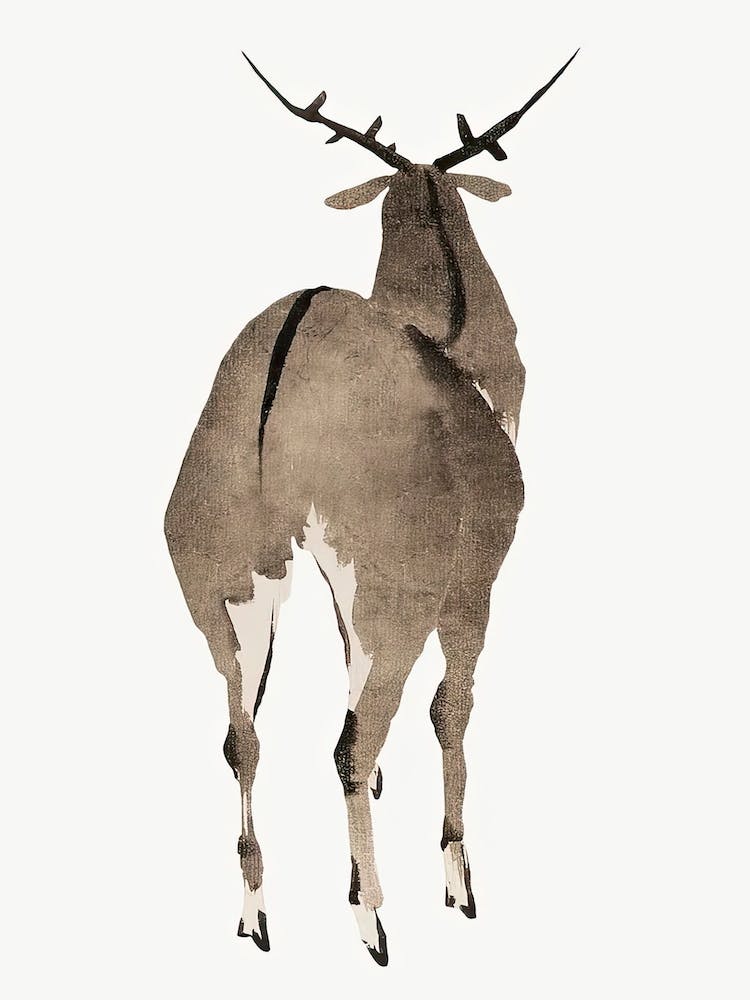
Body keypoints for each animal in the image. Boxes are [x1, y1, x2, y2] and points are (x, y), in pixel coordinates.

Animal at [164, 50, 577, 966]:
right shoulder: (472, 583)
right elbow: (451, 710)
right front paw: (459, 881)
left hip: (221, 576)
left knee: (242, 737)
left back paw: (255, 917)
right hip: (396, 588)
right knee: (351, 739)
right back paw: (374, 922)